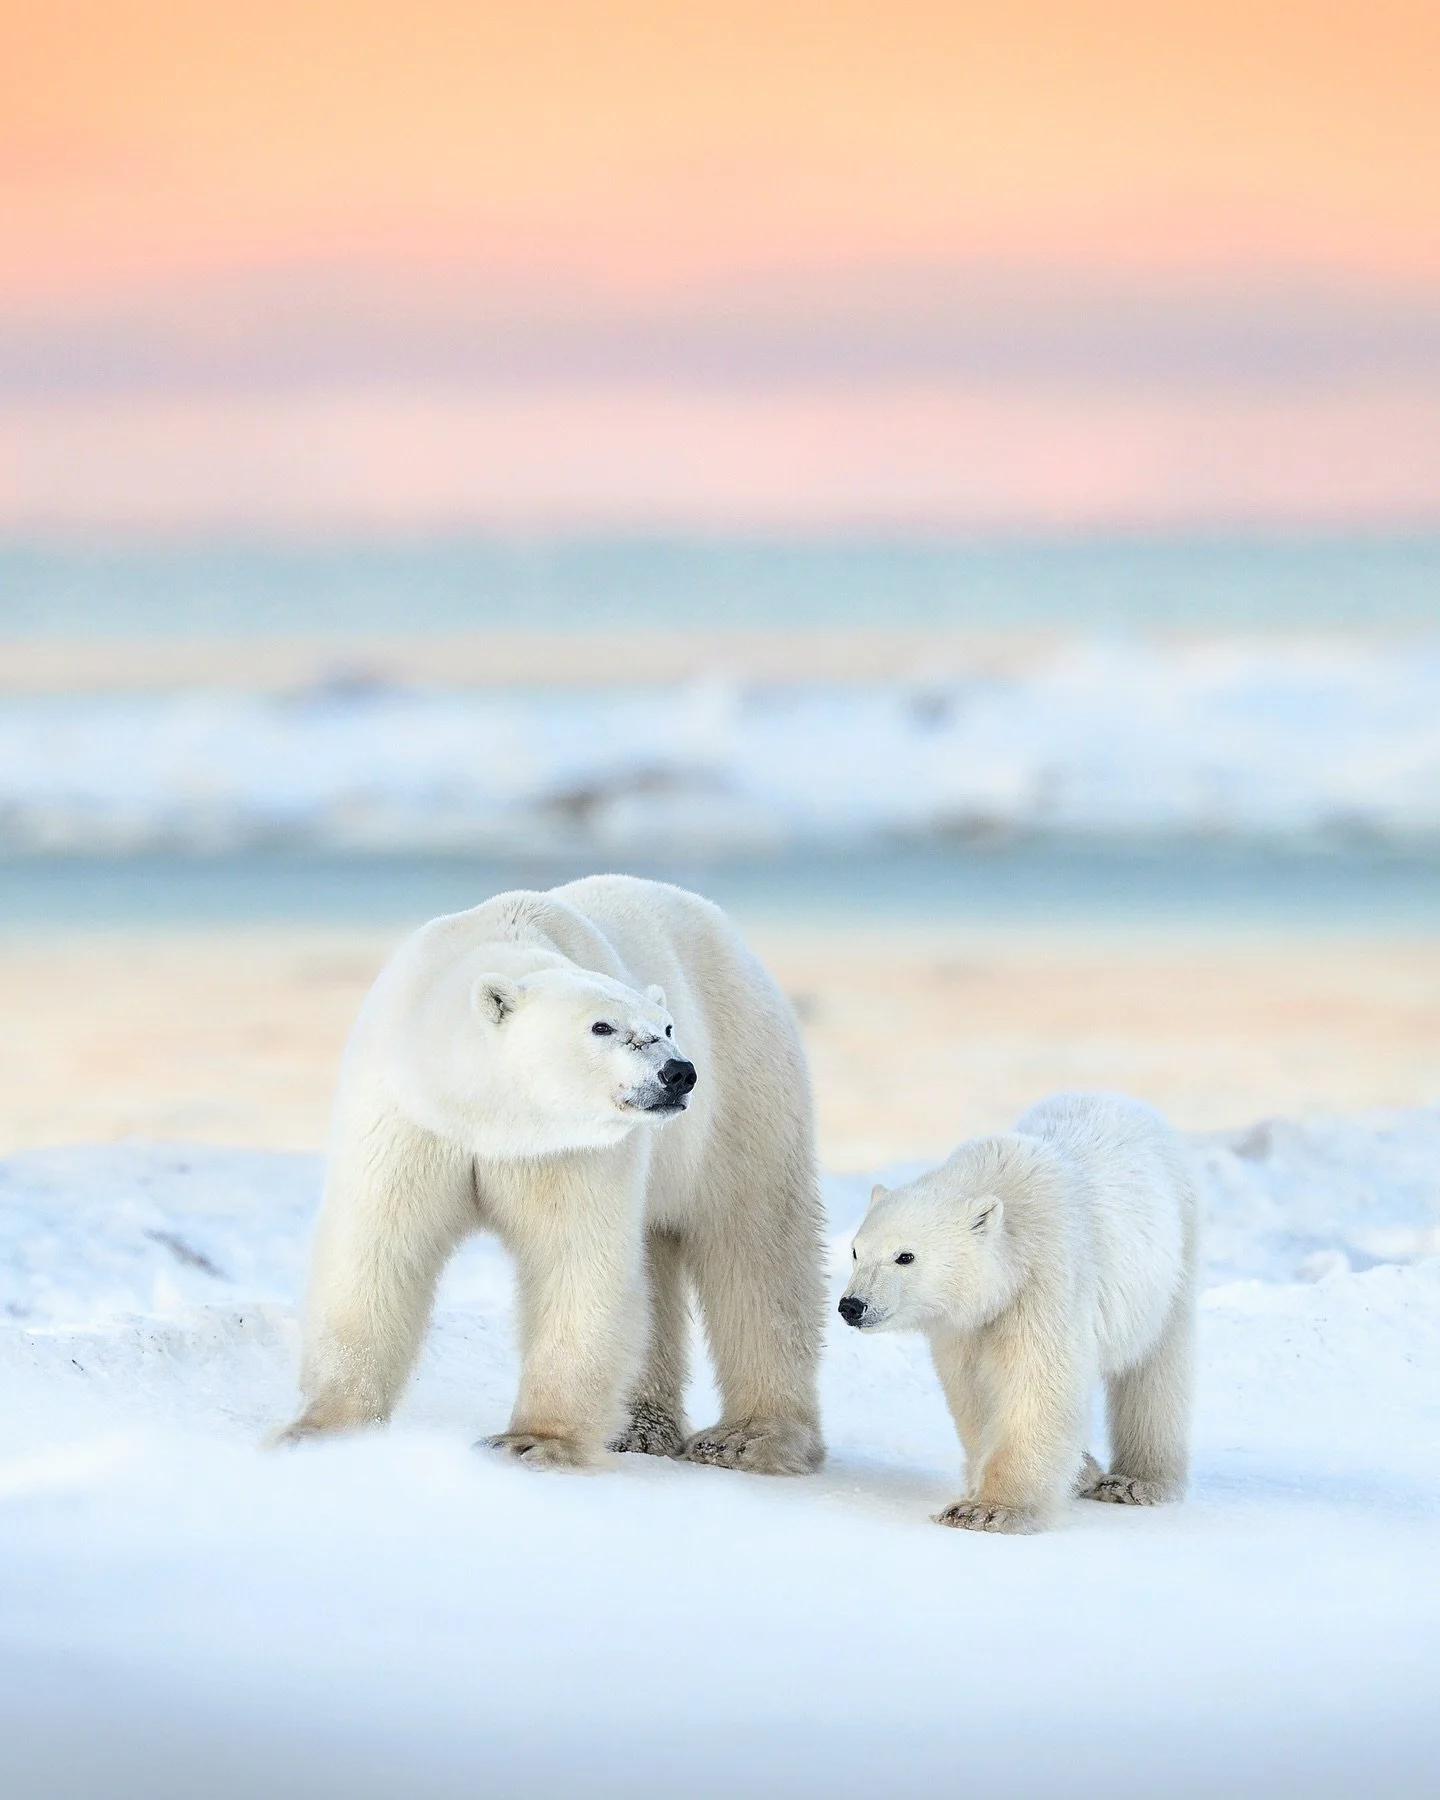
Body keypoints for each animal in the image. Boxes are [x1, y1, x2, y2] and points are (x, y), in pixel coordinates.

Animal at [278, 874, 827, 1476]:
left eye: (667, 1026)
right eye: (602, 1026)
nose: (678, 1072)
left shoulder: (571, 1146)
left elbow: (577, 1258)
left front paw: (533, 1442)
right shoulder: (413, 1118)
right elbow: (377, 1250)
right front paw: (319, 1431)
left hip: (742, 1090)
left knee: (756, 1249)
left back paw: (747, 1438)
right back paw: (638, 1429)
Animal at [838, 1092, 1199, 1532]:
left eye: (905, 1256)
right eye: (856, 1251)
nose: (852, 1306)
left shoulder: (1045, 1282)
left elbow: (1038, 1383)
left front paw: (986, 1509)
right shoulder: (965, 1325)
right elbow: (973, 1393)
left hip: (1173, 1258)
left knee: (1156, 1368)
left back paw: (1135, 1481)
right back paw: (1087, 1471)